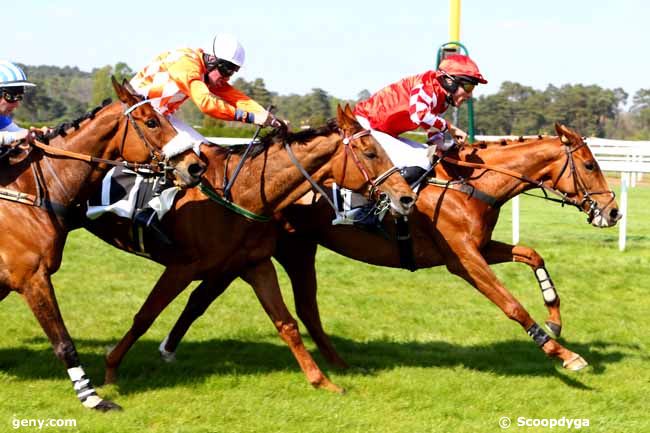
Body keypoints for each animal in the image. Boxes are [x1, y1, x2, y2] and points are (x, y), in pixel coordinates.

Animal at [0, 78, 205, 412]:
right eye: (151, 121)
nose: (196, 167)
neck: (28, 193)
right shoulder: (33, 279)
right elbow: (64, 342)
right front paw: (93, 398)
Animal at [83, 104, 412, 392]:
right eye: (371, 152)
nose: (406, 197)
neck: (241, 194)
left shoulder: (254, 264)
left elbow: (286, 323)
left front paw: (322, 381)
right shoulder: (182, 267)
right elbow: (145, 316)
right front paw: (111, 368)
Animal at [161, 121, 616, 374]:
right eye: (589, 164)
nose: (612, 211)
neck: (469, 183)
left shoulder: (480, 247)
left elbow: (532, 254)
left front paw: (555, 318)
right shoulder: (464, 259)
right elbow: (512, 305)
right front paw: (561, 352)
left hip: (281, 250)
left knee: (240, 299)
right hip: (271, 251)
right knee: (216, 295)